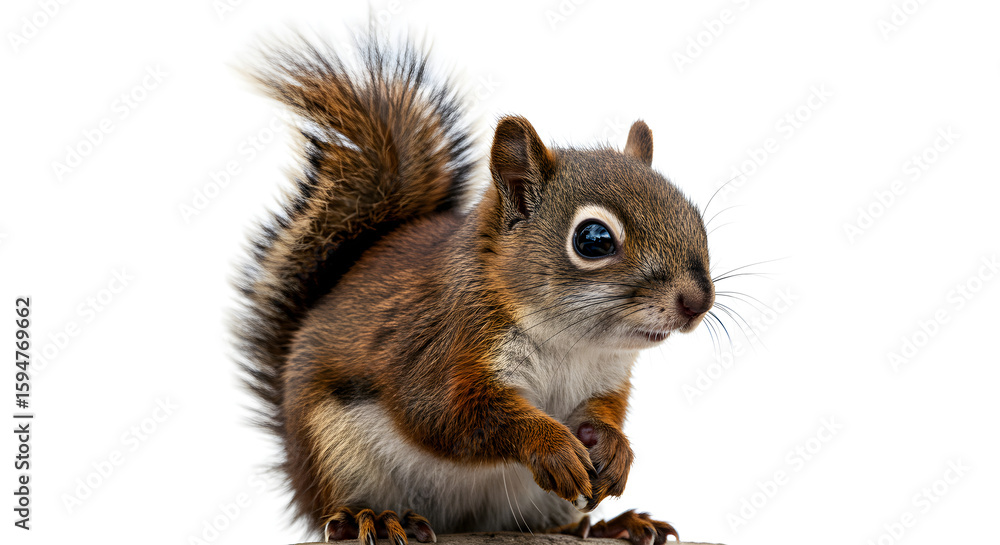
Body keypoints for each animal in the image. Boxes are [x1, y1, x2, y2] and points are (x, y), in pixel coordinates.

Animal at [233, 33, 715, 545]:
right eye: (593, 239)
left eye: (693, 217)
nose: (697, 302)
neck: (570, 343)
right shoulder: (438, 350)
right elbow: (450, 415)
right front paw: (550, 444)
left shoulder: (606, 379)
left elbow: (604, 414)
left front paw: (613, 448)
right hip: (337, 455)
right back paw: (376, 519)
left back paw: (607, 526)